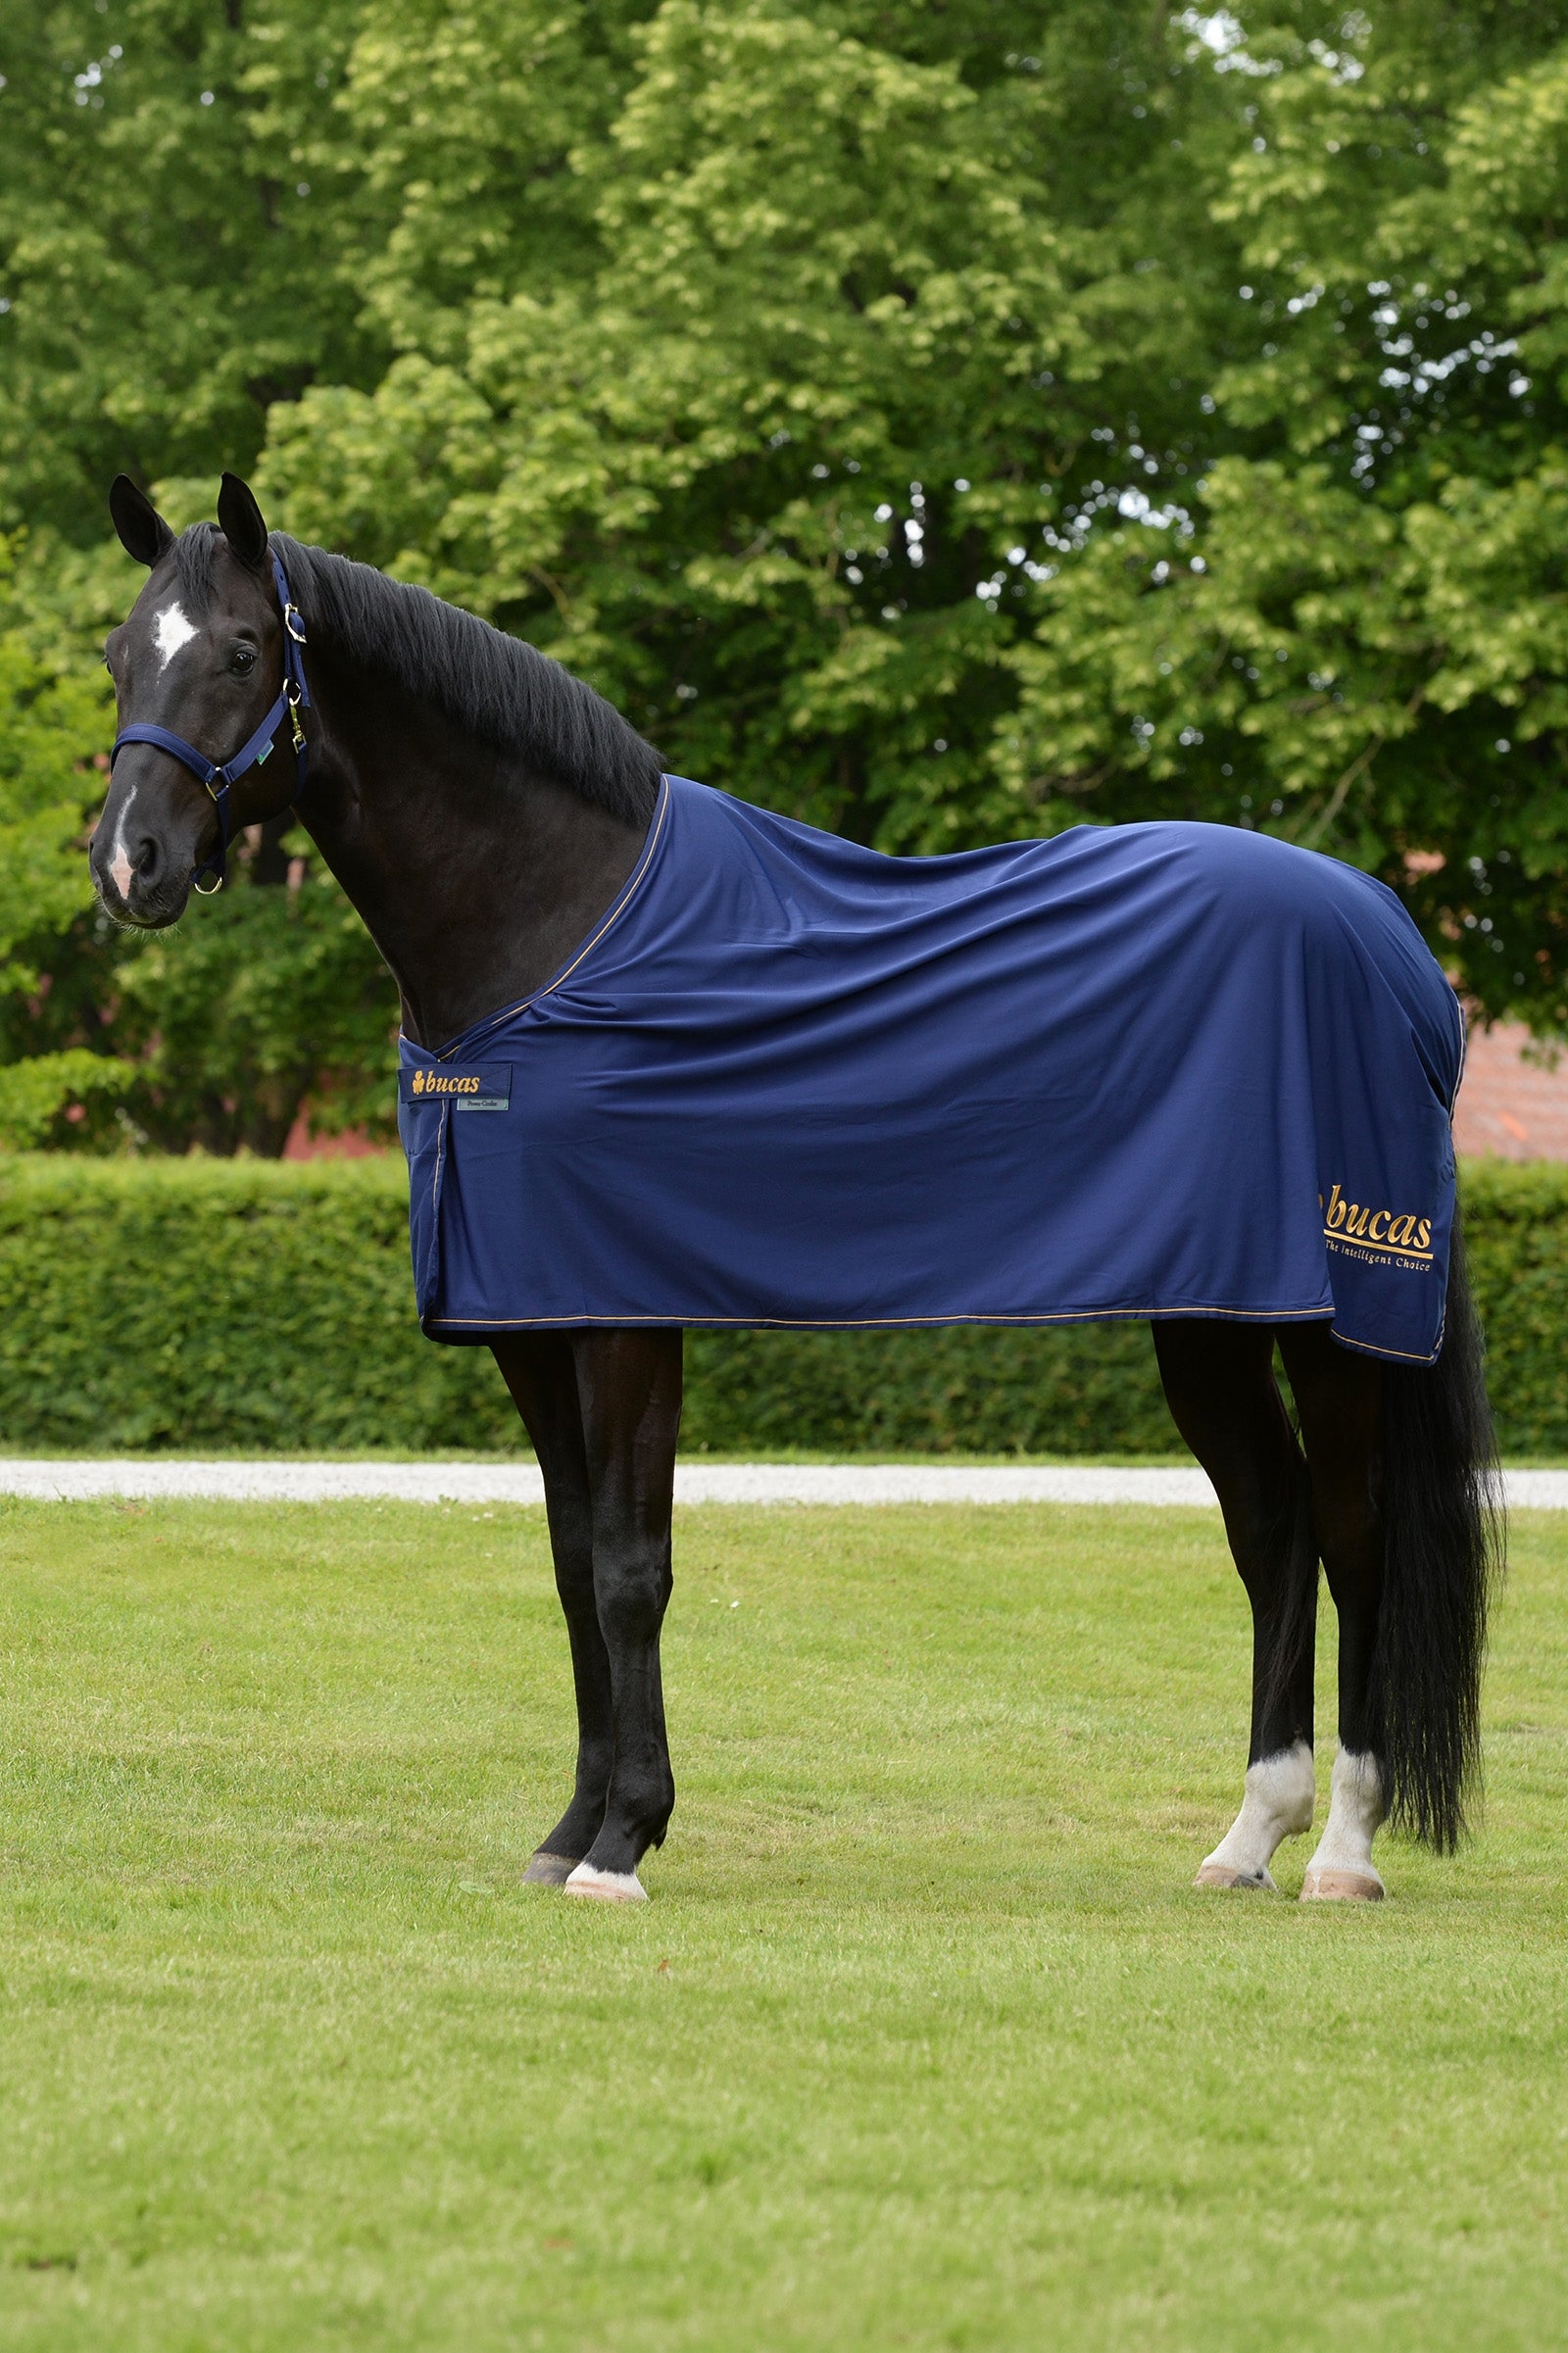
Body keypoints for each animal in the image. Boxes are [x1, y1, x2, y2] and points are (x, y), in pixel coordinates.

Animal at [90, 471, 1500, 1906]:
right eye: (118, 658)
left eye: (243, 653)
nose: (130, 863)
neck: (557, 934)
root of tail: (1389, 934)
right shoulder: (531, 1321)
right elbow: (569, 1562)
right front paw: (569, 1830)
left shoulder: (625, 1318)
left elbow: (630, 1569)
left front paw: (625, 1842)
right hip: (1210, 1319)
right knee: (1272, 1530)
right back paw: (1248, 1834)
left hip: (1335, 1322)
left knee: (1352, 1532)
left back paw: (1343, 1848)